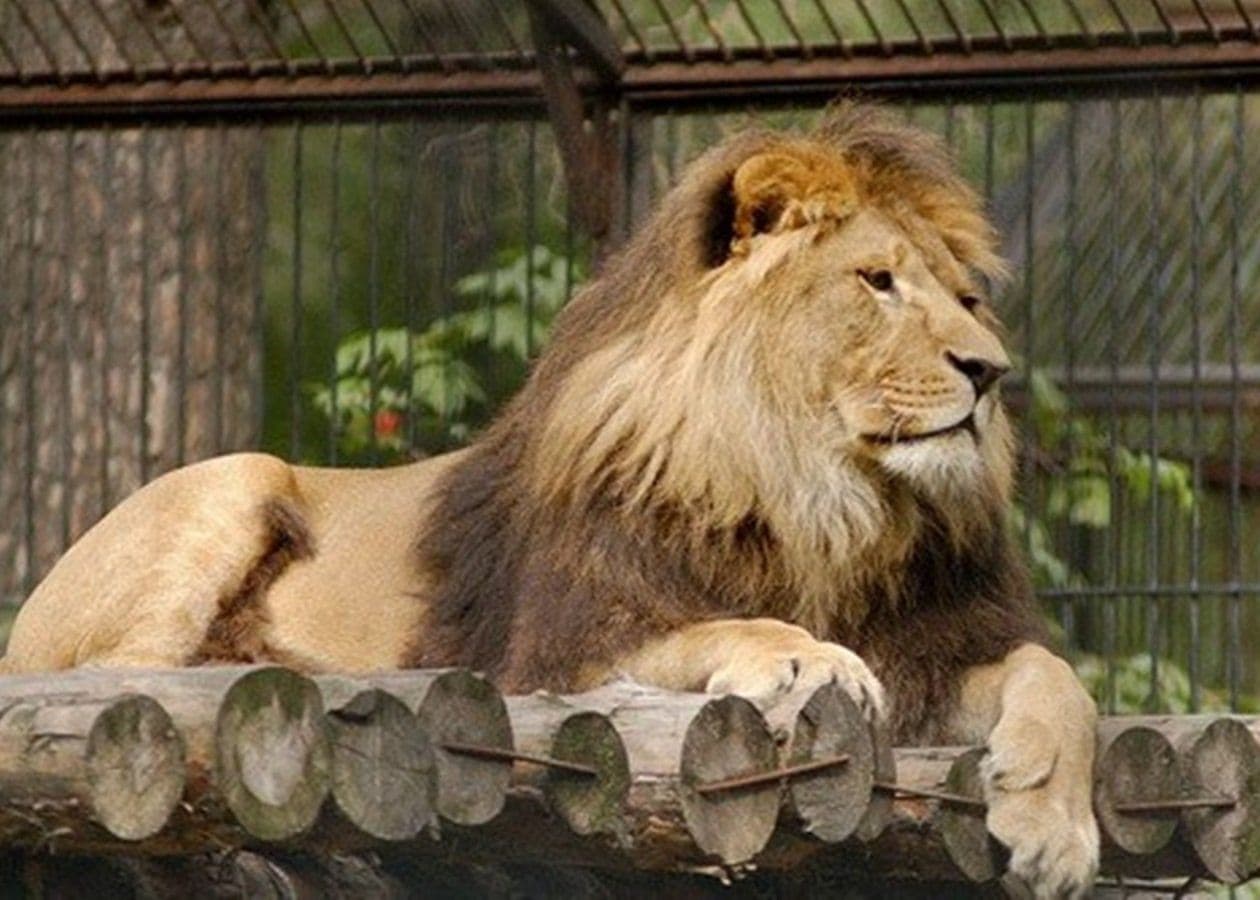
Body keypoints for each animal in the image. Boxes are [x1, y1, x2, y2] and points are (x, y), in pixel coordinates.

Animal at [3, 104, 1098, 896]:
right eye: (876, 281)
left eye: (968, 298)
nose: (990, 372)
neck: (822, 500)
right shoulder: (560, 653)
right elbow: (722, 626)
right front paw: (808, 655)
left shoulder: (935, 650)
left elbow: (1059, 680)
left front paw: (1055, 829)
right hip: (234, 481)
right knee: (117, 679)